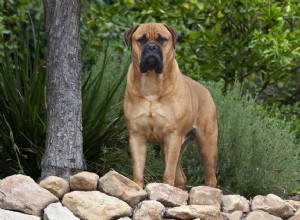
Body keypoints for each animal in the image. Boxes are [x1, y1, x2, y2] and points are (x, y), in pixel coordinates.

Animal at [123, 22, 217, 189]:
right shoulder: (136, 136)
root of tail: (206, 91)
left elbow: (168, 172)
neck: (152, 83)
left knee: (210, 177)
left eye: (162, 39)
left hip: (207, 143)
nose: (151, 47)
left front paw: (165, 188)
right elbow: (138, 170)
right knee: (181, 177)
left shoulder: (173, 136)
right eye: (141, 40)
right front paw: (138, 187)